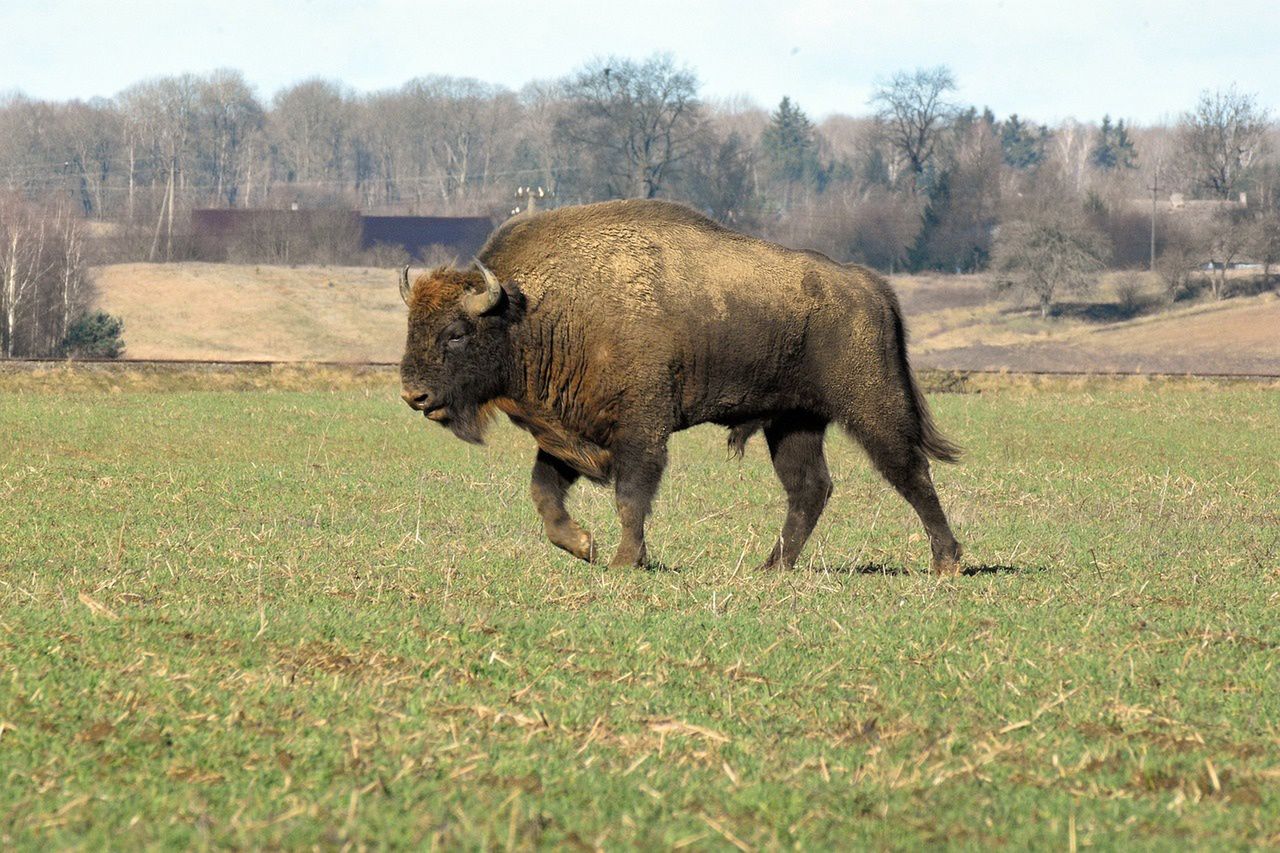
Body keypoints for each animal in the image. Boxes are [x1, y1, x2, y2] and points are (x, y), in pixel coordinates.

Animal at [399, 199, 962, 571]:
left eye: (455, 333)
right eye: (412, 326)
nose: (413, 395)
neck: (532, 311)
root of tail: (869, 285)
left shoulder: (640, 429)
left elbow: (631, 495)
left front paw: (624, 562)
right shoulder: (568, 431)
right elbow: (544, 492)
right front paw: (584, 546)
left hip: (871, 406)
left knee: (910, 472)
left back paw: (947, 562)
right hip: (793, 422)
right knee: (809, 488)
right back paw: (771, 568)